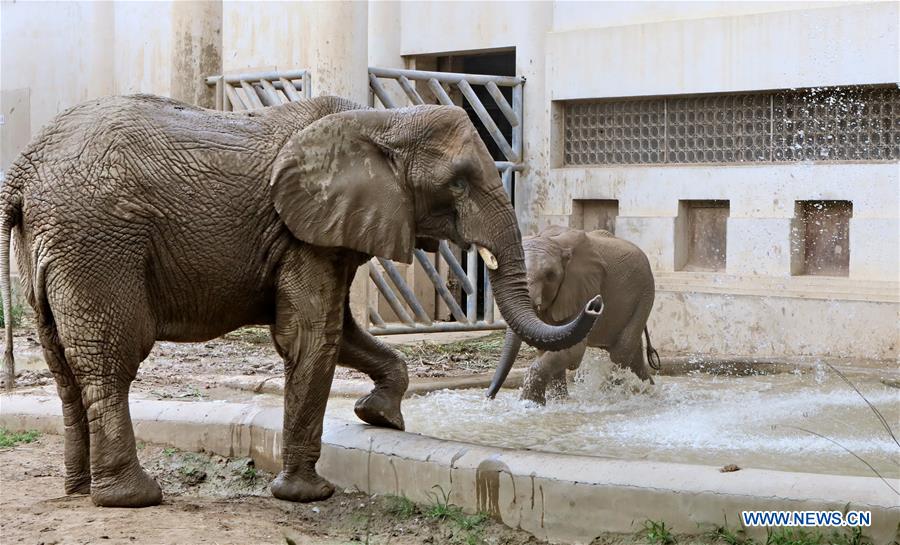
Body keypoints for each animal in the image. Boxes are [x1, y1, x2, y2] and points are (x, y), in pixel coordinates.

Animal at [1, 95, 604, 508]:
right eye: (458, 184)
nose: (596, 305)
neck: (381, 121)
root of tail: (22, 173)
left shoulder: (326, 231)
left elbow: (343, 333)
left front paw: (380, 417)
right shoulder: (303, 233)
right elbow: (313, 335)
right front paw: (308, 494)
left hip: (51, 249)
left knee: (62, 363)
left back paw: (78, 489)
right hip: (97, 243)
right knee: (110, 360)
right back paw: (133, 498)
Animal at [488, 224, 656, 404]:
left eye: (550, 276)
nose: (490, 396)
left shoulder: (582, 289)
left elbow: (574, 350)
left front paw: (530, 404)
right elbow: (551, 344)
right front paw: (559, 402)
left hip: (645, 294)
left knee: (621, 352)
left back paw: (610, 395)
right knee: (633, 357)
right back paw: (648, 392)